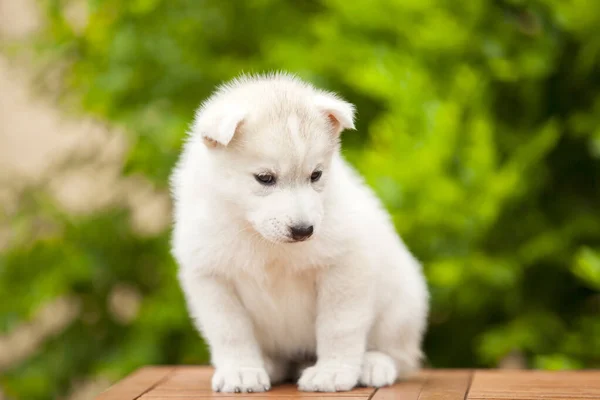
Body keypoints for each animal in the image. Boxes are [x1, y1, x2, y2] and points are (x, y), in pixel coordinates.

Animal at [171, 73, 428, 392]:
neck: (259, 237)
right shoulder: (211, 277)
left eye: (315, 175)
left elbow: (338, 326)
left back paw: (373, 364)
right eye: (265, 178)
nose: (304, 230)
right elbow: (230, 330)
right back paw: (269, 365)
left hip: (401, 305)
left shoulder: (345, 267)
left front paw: (333, 372)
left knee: (399, 355)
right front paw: (241, 370)